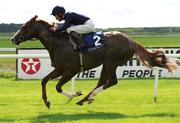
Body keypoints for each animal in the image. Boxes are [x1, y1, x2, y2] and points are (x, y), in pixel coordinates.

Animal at [10, 15, 176, 108]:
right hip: (106, 63)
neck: (58, 42)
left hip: (111, 61)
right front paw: (46, 102)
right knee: (102, 81)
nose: (13, 38)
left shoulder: (71, 70)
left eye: (24, 26)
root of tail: (131, 41)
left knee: (112, 81)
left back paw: (86, 98)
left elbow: (57, 86)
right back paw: (85, 99)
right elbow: (44, 81)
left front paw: (75, 94)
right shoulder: (59, 69)